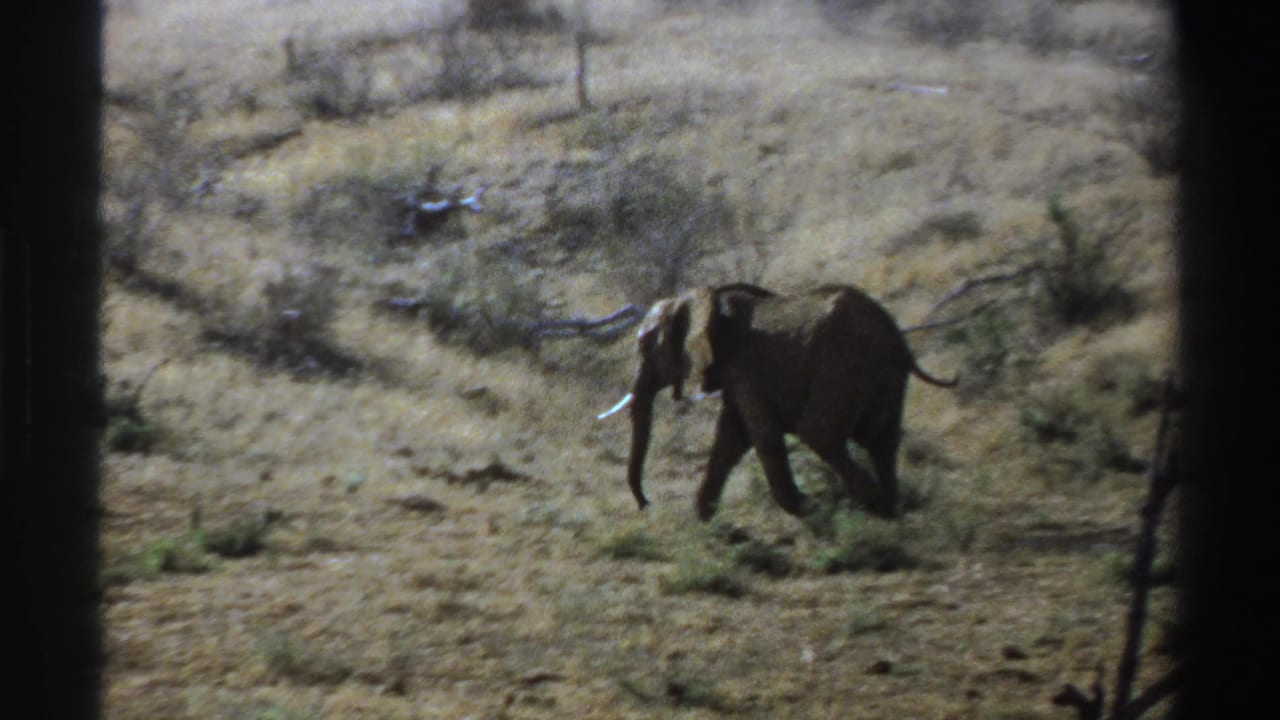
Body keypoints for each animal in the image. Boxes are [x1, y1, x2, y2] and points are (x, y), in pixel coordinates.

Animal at [598, 283, 956, 521]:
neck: (702, 299)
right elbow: (729, 440)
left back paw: (867, 506)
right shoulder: (736, 373)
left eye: (645, 346)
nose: (647, 504)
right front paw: (702, 519)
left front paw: (806, 508)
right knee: (883, 440)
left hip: (843, 365)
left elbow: (761, 436)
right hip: (884, 376)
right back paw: (889, 509)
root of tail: (896, 337)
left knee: (819, 433)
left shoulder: (743, 367)